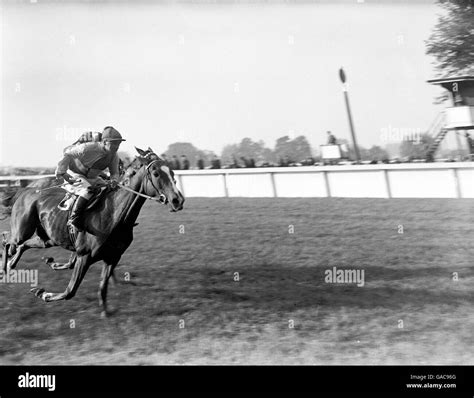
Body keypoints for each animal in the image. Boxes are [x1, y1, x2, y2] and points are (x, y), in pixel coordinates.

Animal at [0, 146, 184, 318]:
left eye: (172, 171)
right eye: (156, 173)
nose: (178, 200)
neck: (115, 215)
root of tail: (25, 190)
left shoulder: (113, 257)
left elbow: (102, 286)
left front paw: (105, 311)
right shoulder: (84, 255)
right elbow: (70, 290)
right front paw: (43, 293)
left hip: (47, 238)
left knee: (23, 245)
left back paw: (11, 264)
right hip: (22, 231)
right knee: (8, 240)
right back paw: (4, 267)